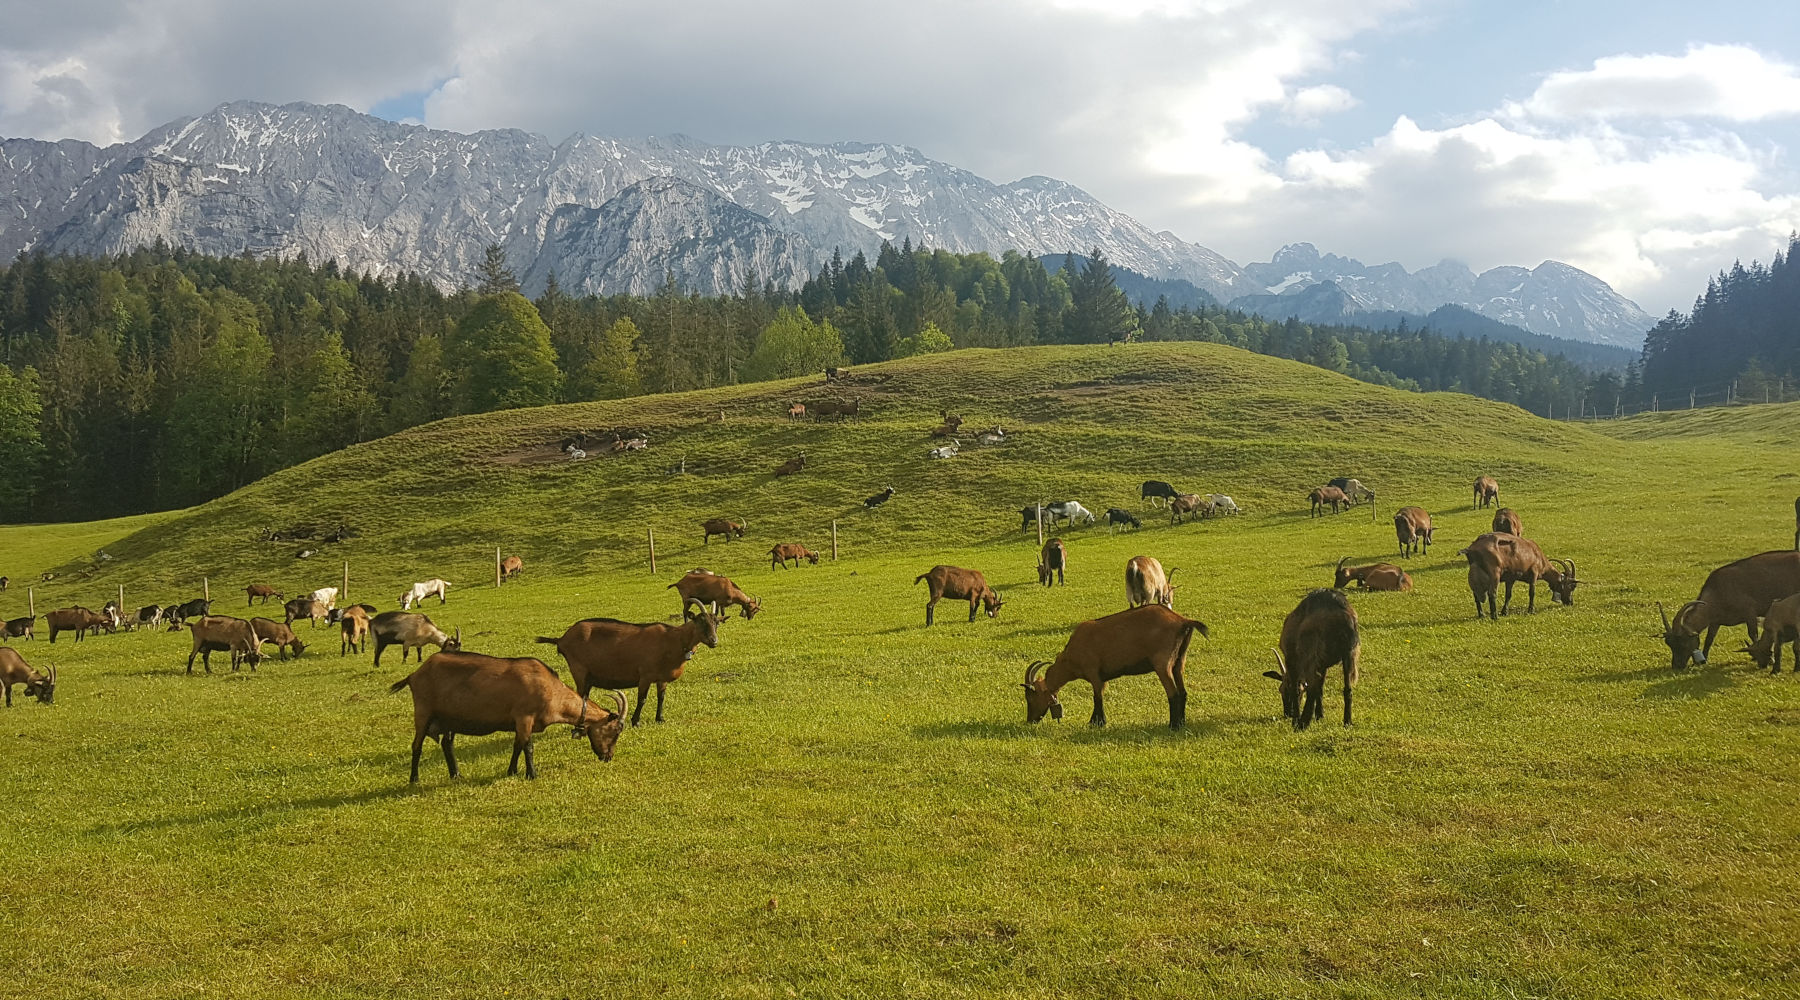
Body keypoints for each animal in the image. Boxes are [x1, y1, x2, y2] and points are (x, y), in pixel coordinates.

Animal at [388, 651, 626, 784]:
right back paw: (414, 779)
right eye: (615, 730)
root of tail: (415, 675)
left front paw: (512, 771)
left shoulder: (520, 723)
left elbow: (517, 745)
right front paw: (532, 774)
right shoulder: (524, 717)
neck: (552, 690)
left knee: (447, 744)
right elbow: (527, 746)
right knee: (417, 745)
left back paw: (456, 775)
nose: (608, 756)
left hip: (448, 719)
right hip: (424, 711)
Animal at [532, 607, 716, 726]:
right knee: (580, 696)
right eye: (700, 621)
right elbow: (642, 699)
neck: (675, 639)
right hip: (579, 670)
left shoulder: (661, 678)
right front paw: (635, 721)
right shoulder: (645, 675)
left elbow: (661, 697)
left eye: (716, 623)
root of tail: (562, 639)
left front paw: (660, 719)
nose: (714, 641)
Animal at [1029, 597, 1209, 730]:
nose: (1030, 720)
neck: (1070, 657)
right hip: (1179, 661)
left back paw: (1173, 726)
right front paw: (1095, 721)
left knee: (1174, 693)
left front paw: (1097, 722)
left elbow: (1097, 697)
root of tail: (1183, 621)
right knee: (1183, 692)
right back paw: (1182, 723)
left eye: (1031, 696)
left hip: (1162, 664)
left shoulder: (1094, 673)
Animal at [1267, 589, 1360, 730]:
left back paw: (1302, 723)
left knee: (1312, 686)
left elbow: (1297, 689)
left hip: (1312, 652)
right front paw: (1319, 716)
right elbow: (1320, 688)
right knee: (1347, 689)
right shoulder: (1323, 664)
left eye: (1282, 690)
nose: (1287, 713)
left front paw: (1296, 720)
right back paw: (1347, 722)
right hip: (1349, 653)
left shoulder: (1292, 660)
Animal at [1656, 550, 1800, 669]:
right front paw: (1704, 659)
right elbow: (1709, 639)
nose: (1676, 666)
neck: (1717, 592)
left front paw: (1766, 658)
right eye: (1669, 643)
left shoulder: (1750, 612)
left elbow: (1753, 634)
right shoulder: (1715, 621)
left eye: (1682, 642)